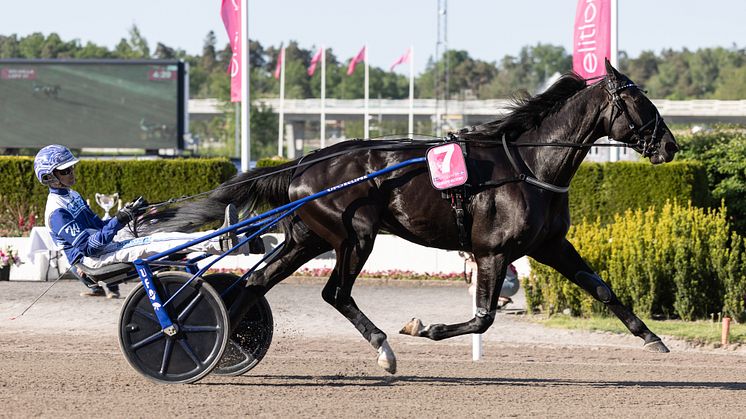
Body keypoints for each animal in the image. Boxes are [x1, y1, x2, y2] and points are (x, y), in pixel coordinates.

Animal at [142, 59, 676, 374]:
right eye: (639, 102)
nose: (670, 146)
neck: (529, 166)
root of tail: (305, 161)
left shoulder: (549, 245)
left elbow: (602, 288)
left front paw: (652, 339)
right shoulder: (493, 251)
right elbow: (482, 319)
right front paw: (424, 329)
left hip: (307, 239)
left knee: (254, 283)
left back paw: (223, 347)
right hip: (354, 236)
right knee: (335, 293)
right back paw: (383, 348)